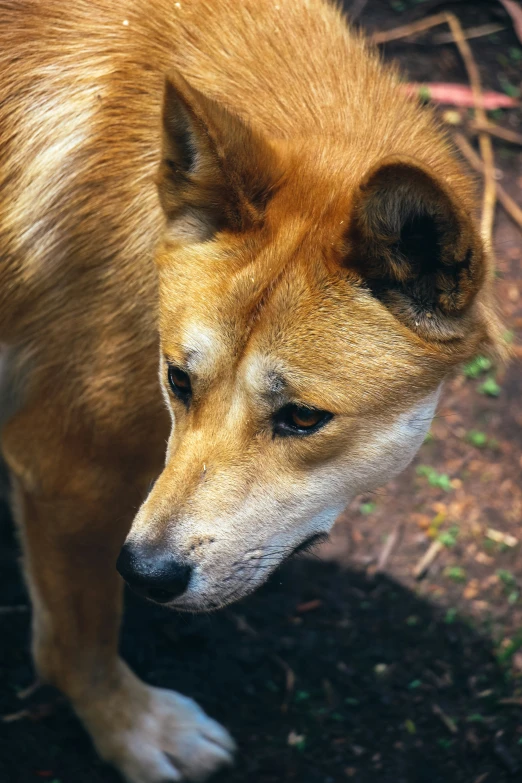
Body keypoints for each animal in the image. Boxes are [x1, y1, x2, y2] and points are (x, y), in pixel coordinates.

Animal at [0, 0, 502, 780]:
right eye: (178, 378)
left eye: (302, 417)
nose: (144, 573)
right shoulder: (67, 471)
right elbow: (76, 642)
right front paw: (131, 728)